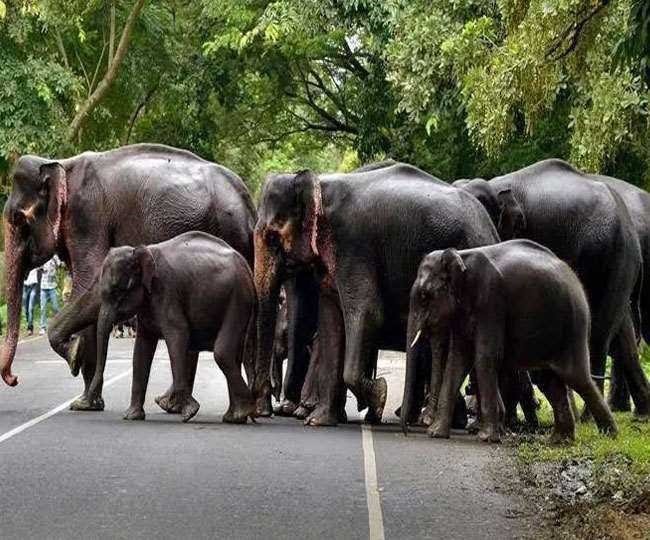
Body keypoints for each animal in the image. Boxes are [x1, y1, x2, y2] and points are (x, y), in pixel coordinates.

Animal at [86, 230, 256, 424]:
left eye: (117, 292)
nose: (96, 402)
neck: (141, 251)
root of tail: (246, 266)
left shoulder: (166, 290)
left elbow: (178, 335)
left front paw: (190, 412)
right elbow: (141, 349)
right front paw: (131, 417)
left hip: (238, 298)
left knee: (223, 353)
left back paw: (244, 410)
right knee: (234, 355)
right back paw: (235, 417)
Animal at [253, 162, 496, 424]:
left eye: (272, 236)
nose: (263, 412)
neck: (321, 184)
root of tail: (489, 226)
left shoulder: (354, 247)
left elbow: (367, 313)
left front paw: (379, 396)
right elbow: (330, 321)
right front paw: (318, 421)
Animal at [402, 240, 616, 442]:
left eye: (424, 296)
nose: (406, 431)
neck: (461, 256)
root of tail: (574, 278)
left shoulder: (491, 301)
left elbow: (485, 357)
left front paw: (486, 438)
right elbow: (457, 361)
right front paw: (435, 434)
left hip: (573, 326)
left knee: (577, 377)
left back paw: (609, 435)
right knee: (549, 381)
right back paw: (559, 440)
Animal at [450, 158, 648, 416]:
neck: (495, 185)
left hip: (614, 257)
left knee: (599, 332)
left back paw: (588, 416)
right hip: (621, 265)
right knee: (621, 329)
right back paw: (638, 412)